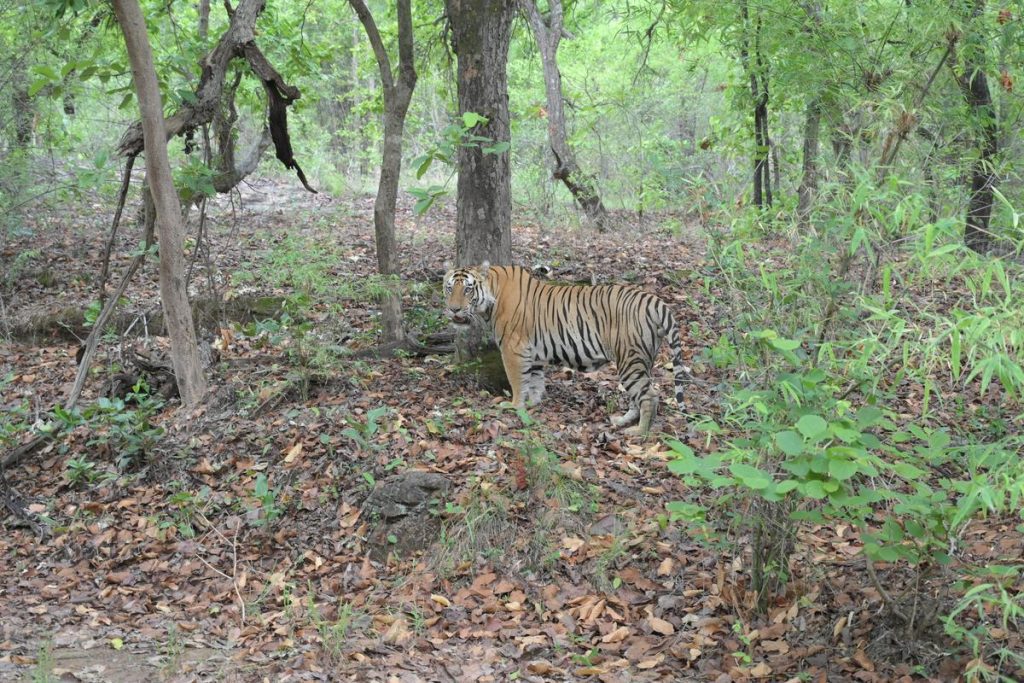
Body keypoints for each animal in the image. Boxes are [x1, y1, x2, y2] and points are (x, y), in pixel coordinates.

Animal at [443, 262, 687, 434]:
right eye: (449, 288)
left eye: (467, 290)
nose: (453, 309)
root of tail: (654, 300)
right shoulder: (533, 353)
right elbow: (535, 381)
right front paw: (532, 404)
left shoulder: (513, 349)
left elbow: (518, 381)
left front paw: (514, 406)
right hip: (643, 359)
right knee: (639, 395)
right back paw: (622, 421)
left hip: (629, 359)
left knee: (650, 395)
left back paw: (638, 432)